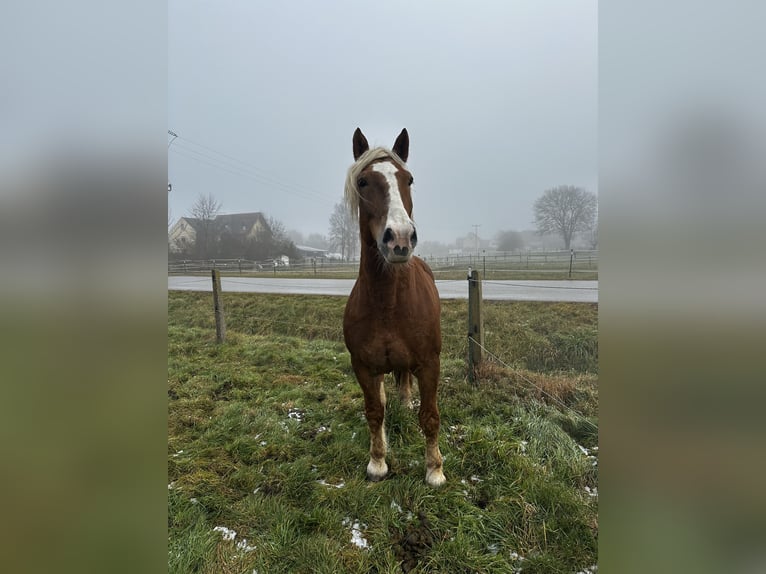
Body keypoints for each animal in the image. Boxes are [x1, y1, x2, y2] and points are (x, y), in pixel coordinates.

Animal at [344, 128, 448, 488]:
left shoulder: (430, 364)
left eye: (409, 179)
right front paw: (377, 462)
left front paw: (434, 470)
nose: (400, 239)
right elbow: (375, 411)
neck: (387, 303)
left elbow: (430, 417)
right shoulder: (362, 366)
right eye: (363, 182)